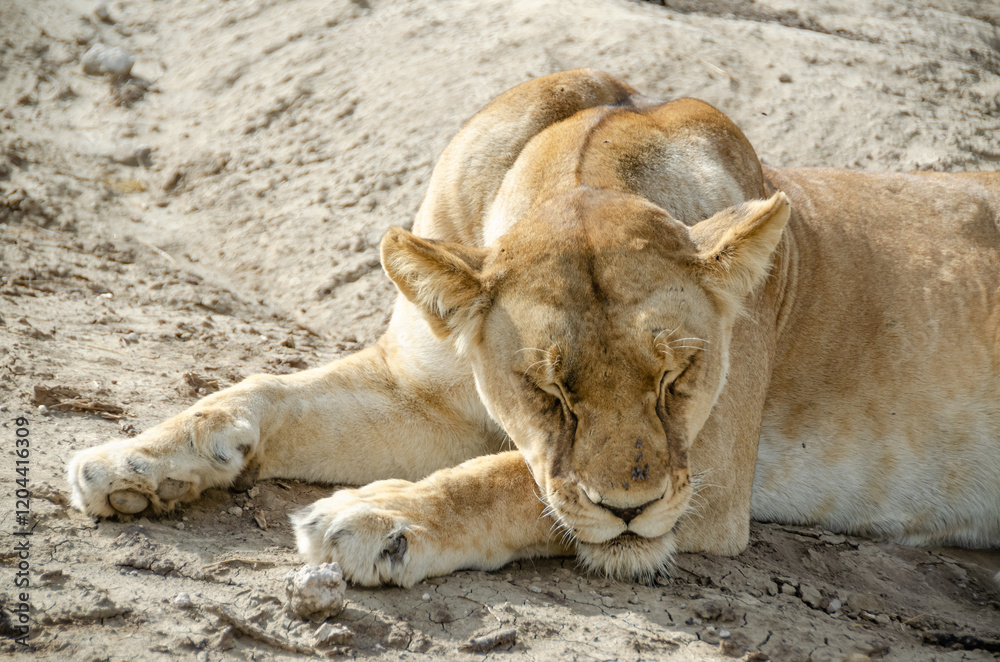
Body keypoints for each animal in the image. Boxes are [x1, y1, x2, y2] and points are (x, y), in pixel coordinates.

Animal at [67, 69, 1000, 586]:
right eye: (548, 388)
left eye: (678, 377)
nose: (632, 511)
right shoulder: (421, 394)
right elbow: (266, 393)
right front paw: (136, 463)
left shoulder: (715, 475)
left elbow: (510, 479)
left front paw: (376, 517)